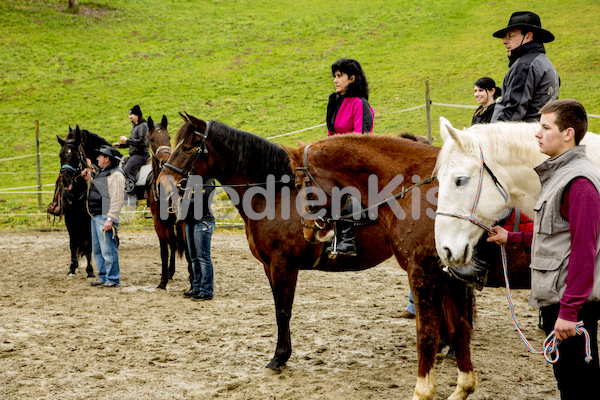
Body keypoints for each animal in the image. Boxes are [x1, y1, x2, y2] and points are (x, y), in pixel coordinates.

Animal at [55, 126, 110, 276]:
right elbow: (73, 244)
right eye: (60, 155)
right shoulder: (69, 219)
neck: (76, 194)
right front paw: (72, 268)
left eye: (75, 155)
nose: (66, 180)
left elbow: (88, 243)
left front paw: (90, 270)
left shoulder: (88, 219)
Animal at [146, 114, 191, 290]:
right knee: (172, 244)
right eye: (152, 139)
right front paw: (163, 281)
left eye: (168, 137)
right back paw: (170, 272)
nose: (165, 161)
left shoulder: (183, 221)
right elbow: (164, 251)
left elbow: (189, 250)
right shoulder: (159, 223)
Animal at [157, 114, 396, 374]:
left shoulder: (283, 264)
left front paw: (278, 357)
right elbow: (278, 308)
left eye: (188, 147)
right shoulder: (269, 266)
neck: (275, 196)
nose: (163, 182)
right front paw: (284, 354)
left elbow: (283, 310)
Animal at [286, 134, 528, 400]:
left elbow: (426, 335)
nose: (307, 231)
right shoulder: (451, 278)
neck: (410, 191)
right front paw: (463, 387)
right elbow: (459, 331)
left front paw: (423, 391)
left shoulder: (423, 272)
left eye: (299, 184)